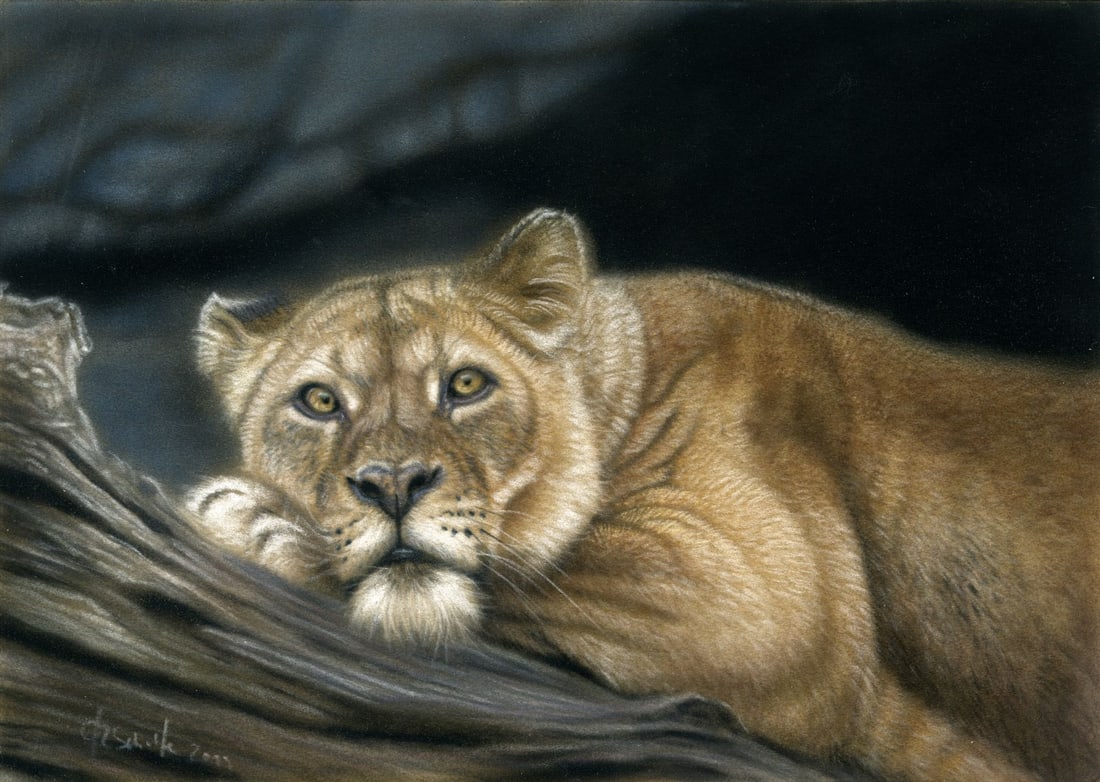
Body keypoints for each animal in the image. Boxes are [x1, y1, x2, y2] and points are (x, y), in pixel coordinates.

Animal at [186, 208, 1099, 782]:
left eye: (466, 384)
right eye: (318, 402)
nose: (392, 484)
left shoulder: (772, 595)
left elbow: (543, 568)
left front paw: (250, 520)